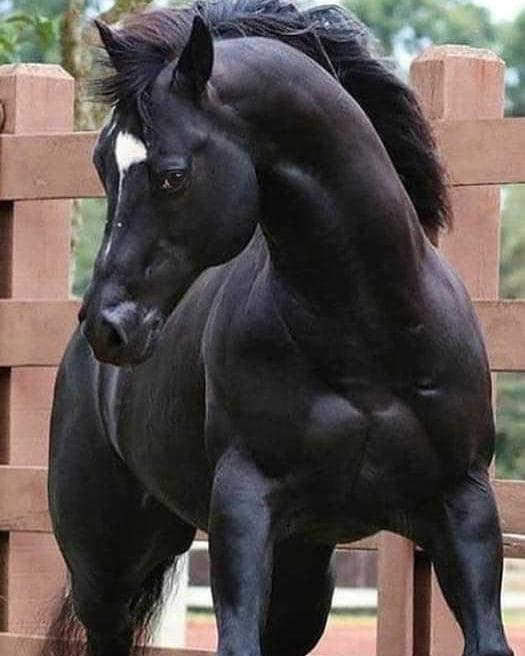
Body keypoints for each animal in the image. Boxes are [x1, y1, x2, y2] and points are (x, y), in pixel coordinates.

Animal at [44, 1, 513, 655]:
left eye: (171, 174)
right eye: (101, 165)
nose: (109, 326)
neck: (367, 341)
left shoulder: (464, 510)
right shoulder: (243, 509)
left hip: (302, 570)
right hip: (106, 569)